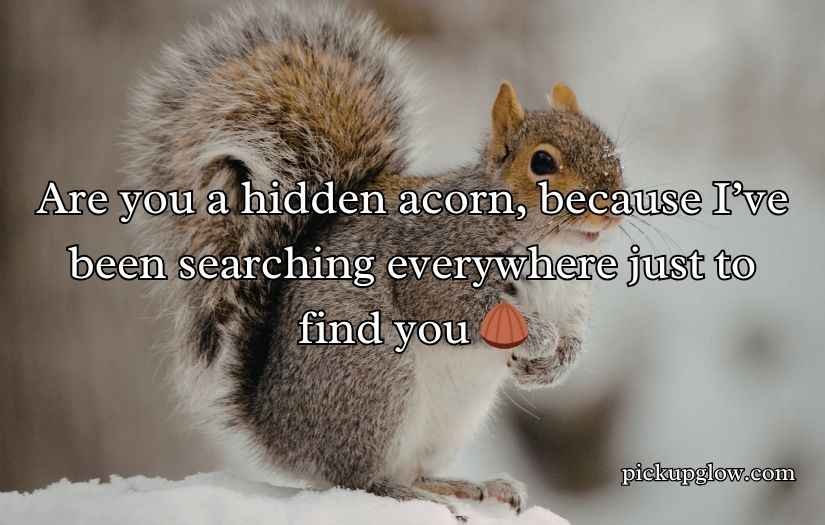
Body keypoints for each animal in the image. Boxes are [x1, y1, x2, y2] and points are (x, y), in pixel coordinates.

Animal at [127, 1, 623, 519]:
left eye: (613, 150)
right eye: (542, 162)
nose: (612, 203)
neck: (555, 246)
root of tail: (278, 432)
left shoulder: (571, 296)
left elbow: (573, 334)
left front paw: (552, 366)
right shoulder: (435, 263)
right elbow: (459, 309)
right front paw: (538, 338)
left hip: (449, 419)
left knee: (411, 468)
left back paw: (471, 486)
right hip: (375, 378)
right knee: (358, 477)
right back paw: (409, 494)